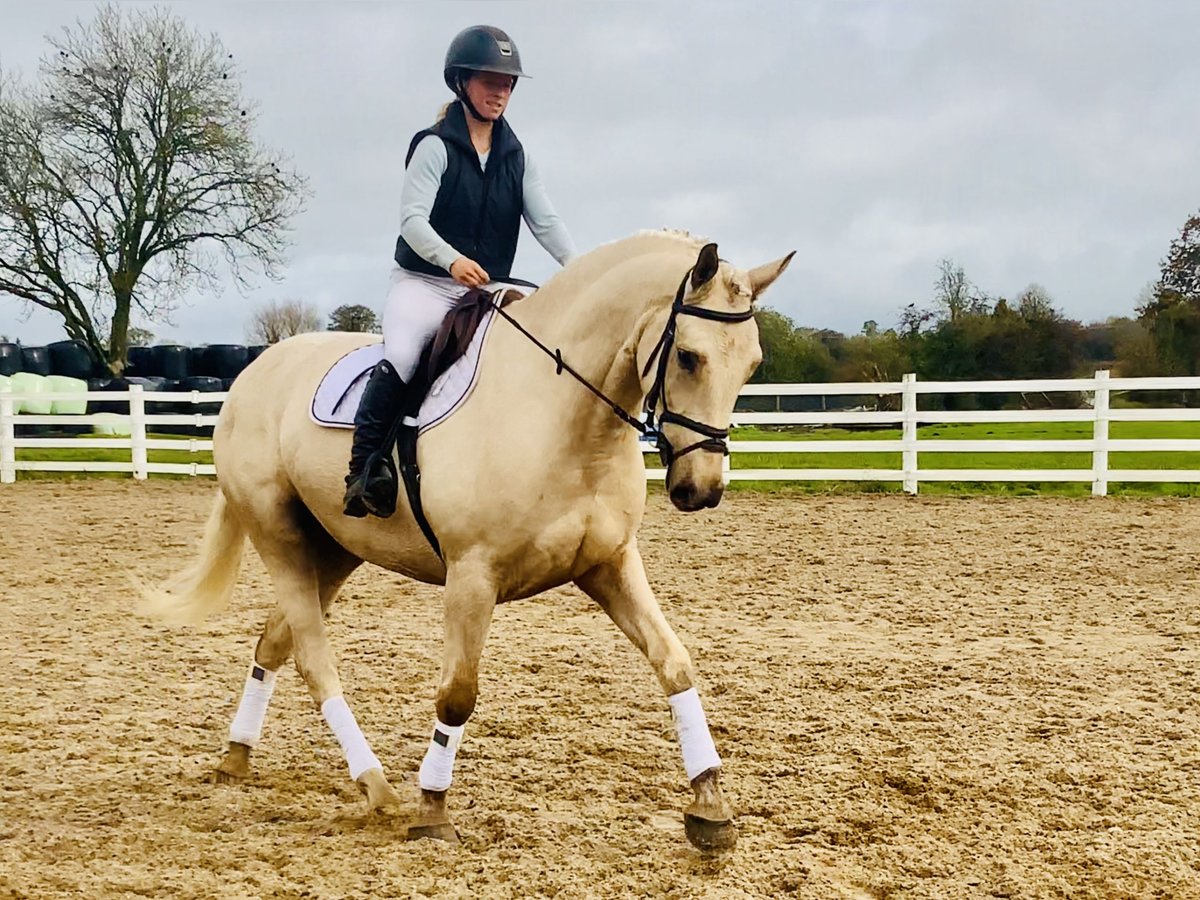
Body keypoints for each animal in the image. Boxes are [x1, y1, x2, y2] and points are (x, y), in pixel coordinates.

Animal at [140, 229, 793, 850]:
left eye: (752, 364)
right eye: (687, 356)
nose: (701, 489)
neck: (564, 416)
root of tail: (253, 373)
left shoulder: (609, 564)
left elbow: (674, 663)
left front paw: (710, 806)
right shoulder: (472, 577)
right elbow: (457, 695)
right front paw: (432, 813)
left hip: (334, 550)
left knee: (273, 645)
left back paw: (236, 757)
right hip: (280, 540)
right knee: (312, 656)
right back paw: (376, 787)